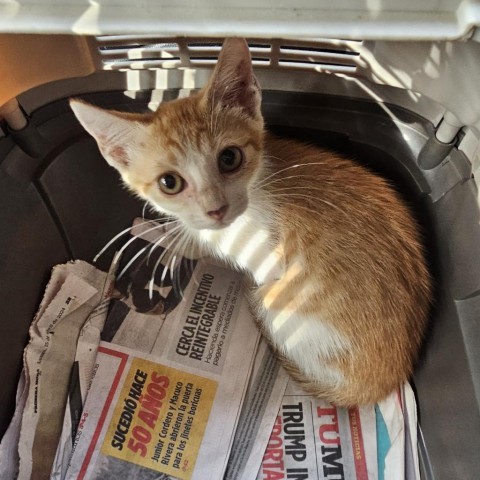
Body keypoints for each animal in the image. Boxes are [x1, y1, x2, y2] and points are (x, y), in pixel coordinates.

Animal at [70, 37, 432, 406]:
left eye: (229, 158)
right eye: (169, 183)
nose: (216, 210)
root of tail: (379, 384)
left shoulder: (263, 260)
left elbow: (202, 247)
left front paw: (163, 237)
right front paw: (160, 231)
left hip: (277, 303)